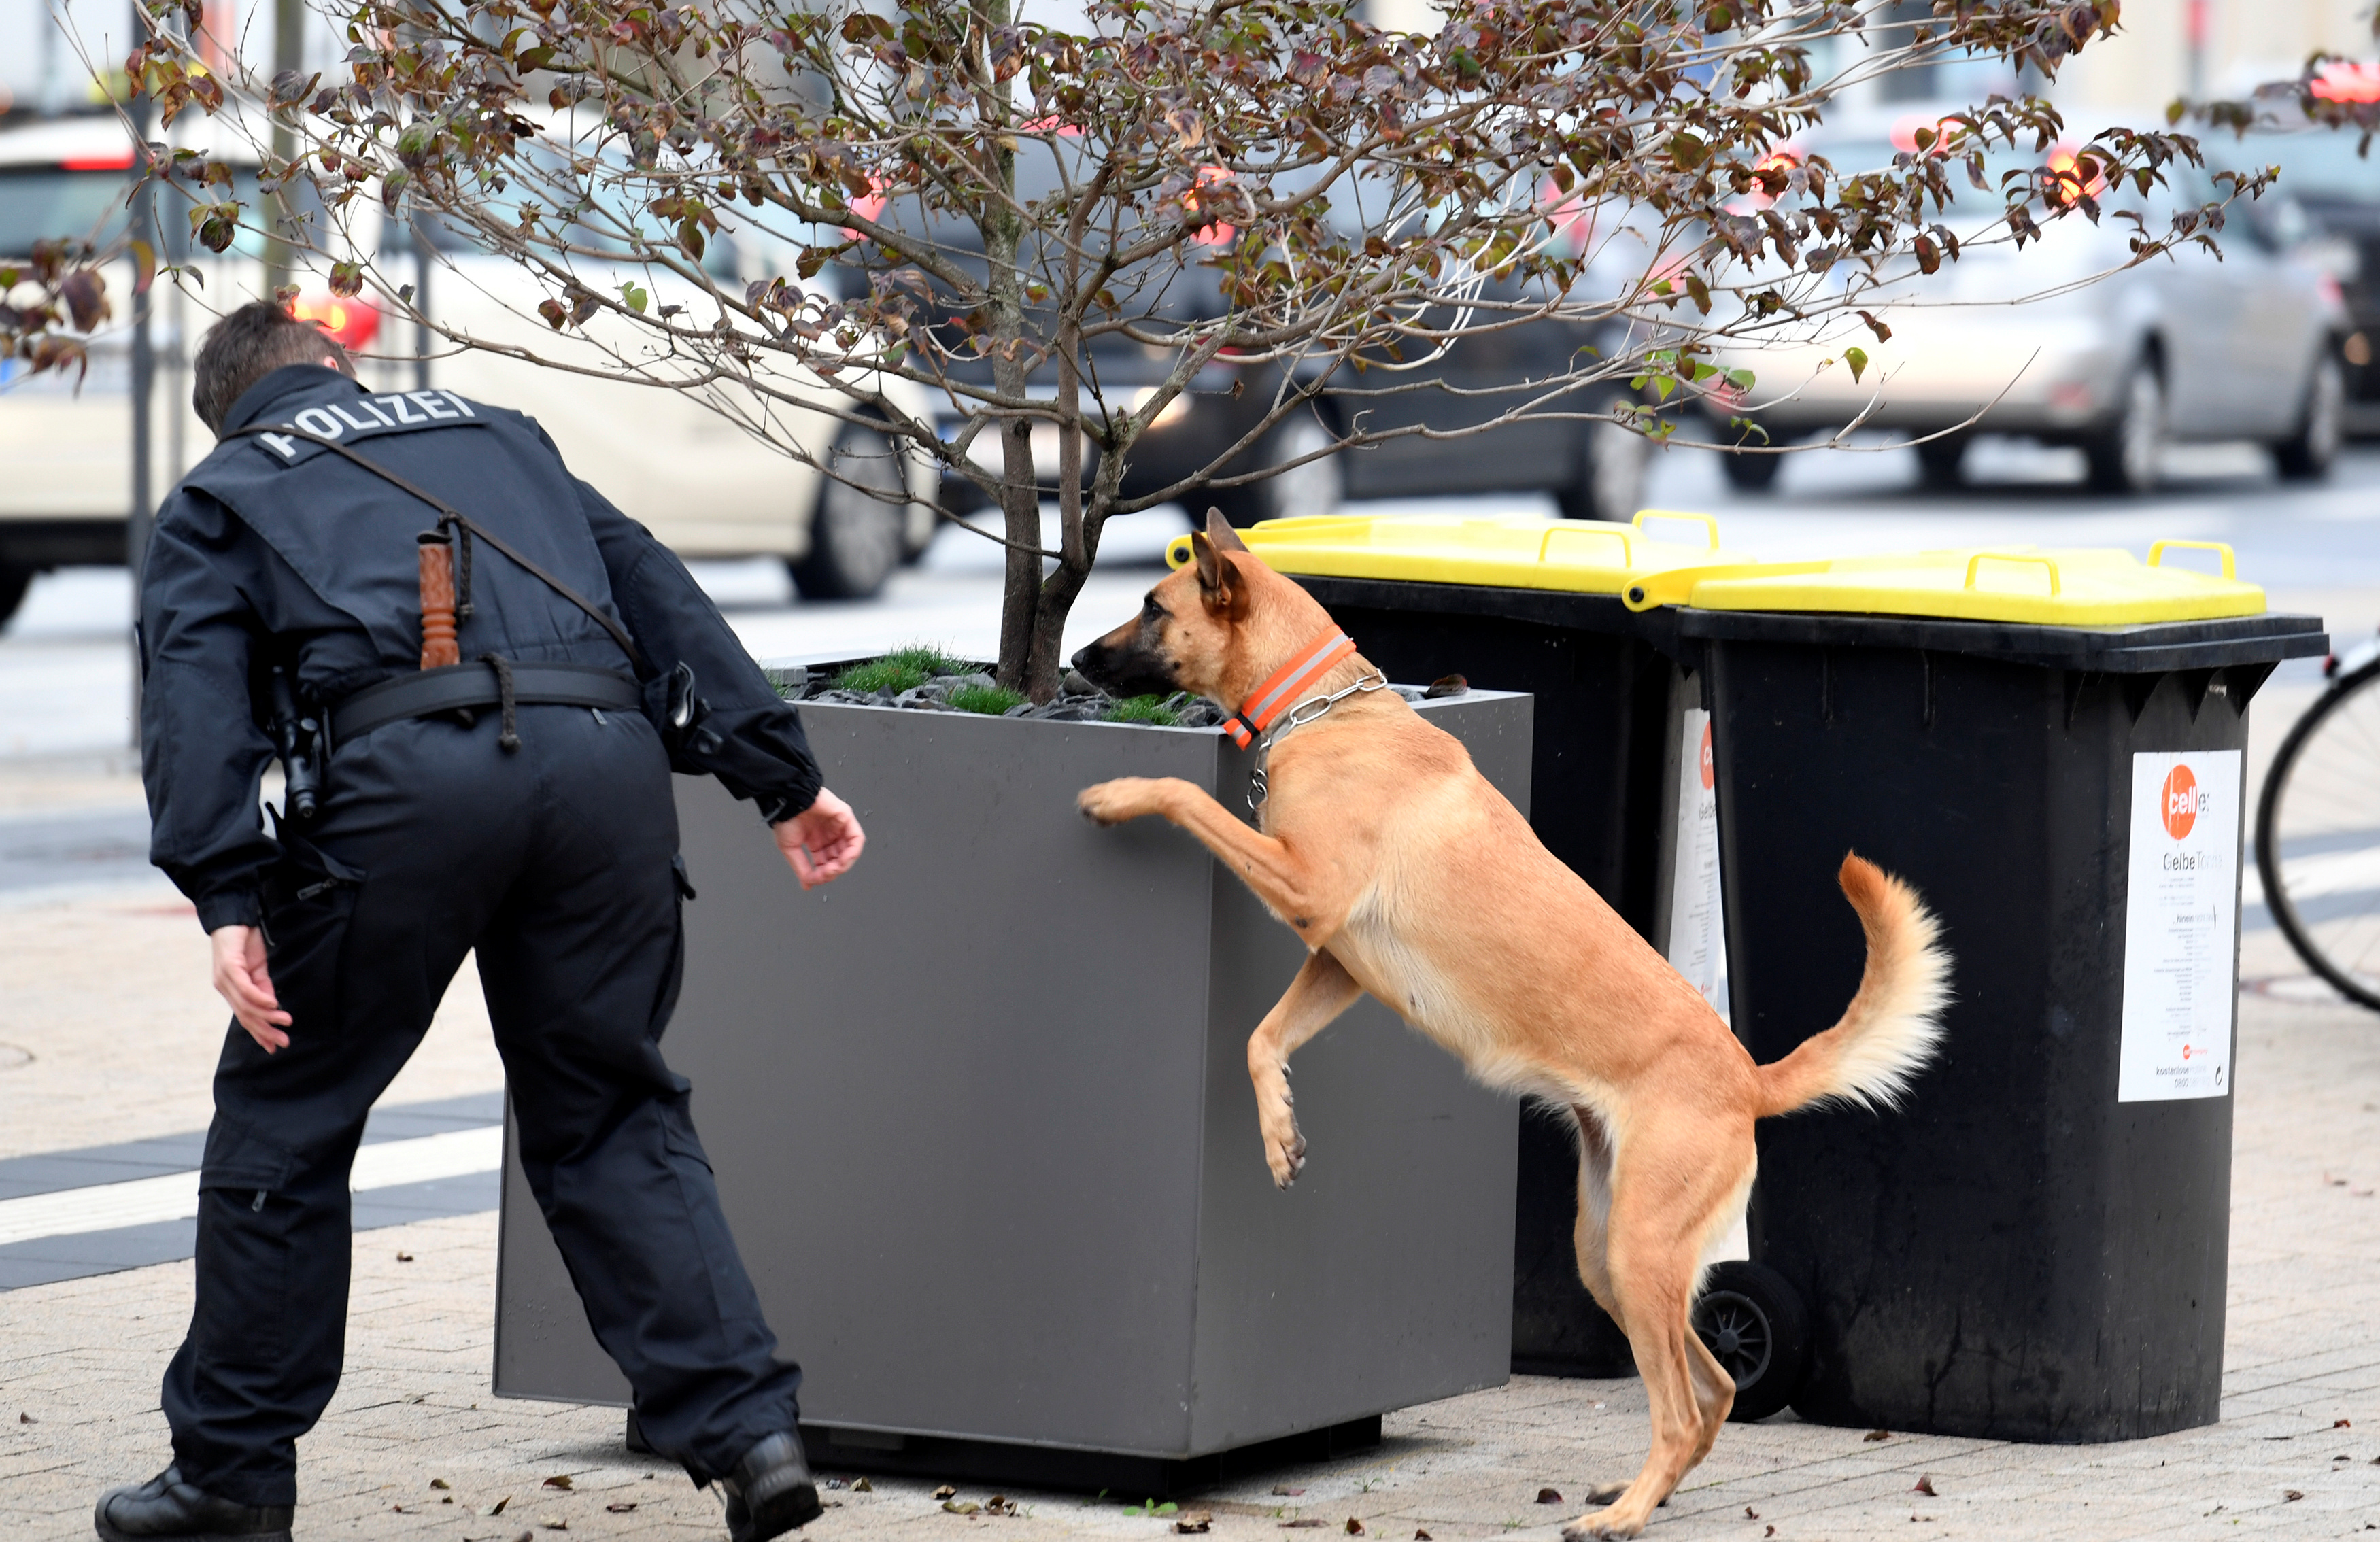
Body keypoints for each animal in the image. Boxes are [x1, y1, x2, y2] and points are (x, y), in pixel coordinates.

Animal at [1081, 514, 1952, 1532]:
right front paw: (1280, 1135)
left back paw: (1624, 1515)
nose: (1077, 661)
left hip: (1642, 1254)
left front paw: (1120, 792)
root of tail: (1746, 1076)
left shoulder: (1306, 892)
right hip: (1609, 1259)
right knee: (1712, 1393)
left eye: (1152, 607)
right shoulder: (1337, 961)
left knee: (1681, 1403)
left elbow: (1186, 797)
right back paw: (1640, 1493)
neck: (1326, 713)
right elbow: (1262, 1040)